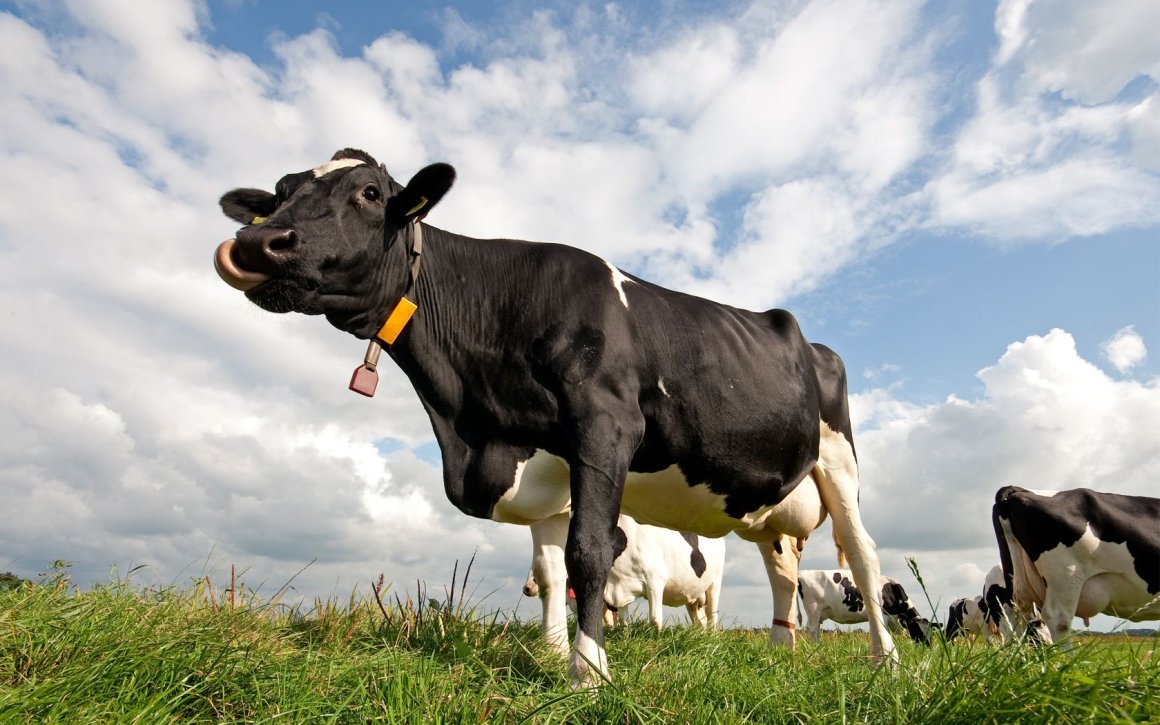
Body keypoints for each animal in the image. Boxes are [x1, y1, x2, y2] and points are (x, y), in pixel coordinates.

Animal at [214, 148, 897, 686]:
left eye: (371, 193)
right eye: (279, 193)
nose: (255, 244)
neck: (471, 423)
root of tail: (806, 337)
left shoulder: (605, 428)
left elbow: (587, 552)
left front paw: (587, 671)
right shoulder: (546, 468)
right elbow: (548, 571)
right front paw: (549, 650)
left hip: (839, 463)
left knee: (865, 556)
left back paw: (885, 660)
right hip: (770, 507)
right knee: (783, 569)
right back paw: (782, 651)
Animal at [797, 569, 932, 644]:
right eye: (919, 630)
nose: (926, 647)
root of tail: (803, 573)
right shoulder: (883, 615)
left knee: (816, 629)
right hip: (813, 608)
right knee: (812, 628)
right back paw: (817, 646)